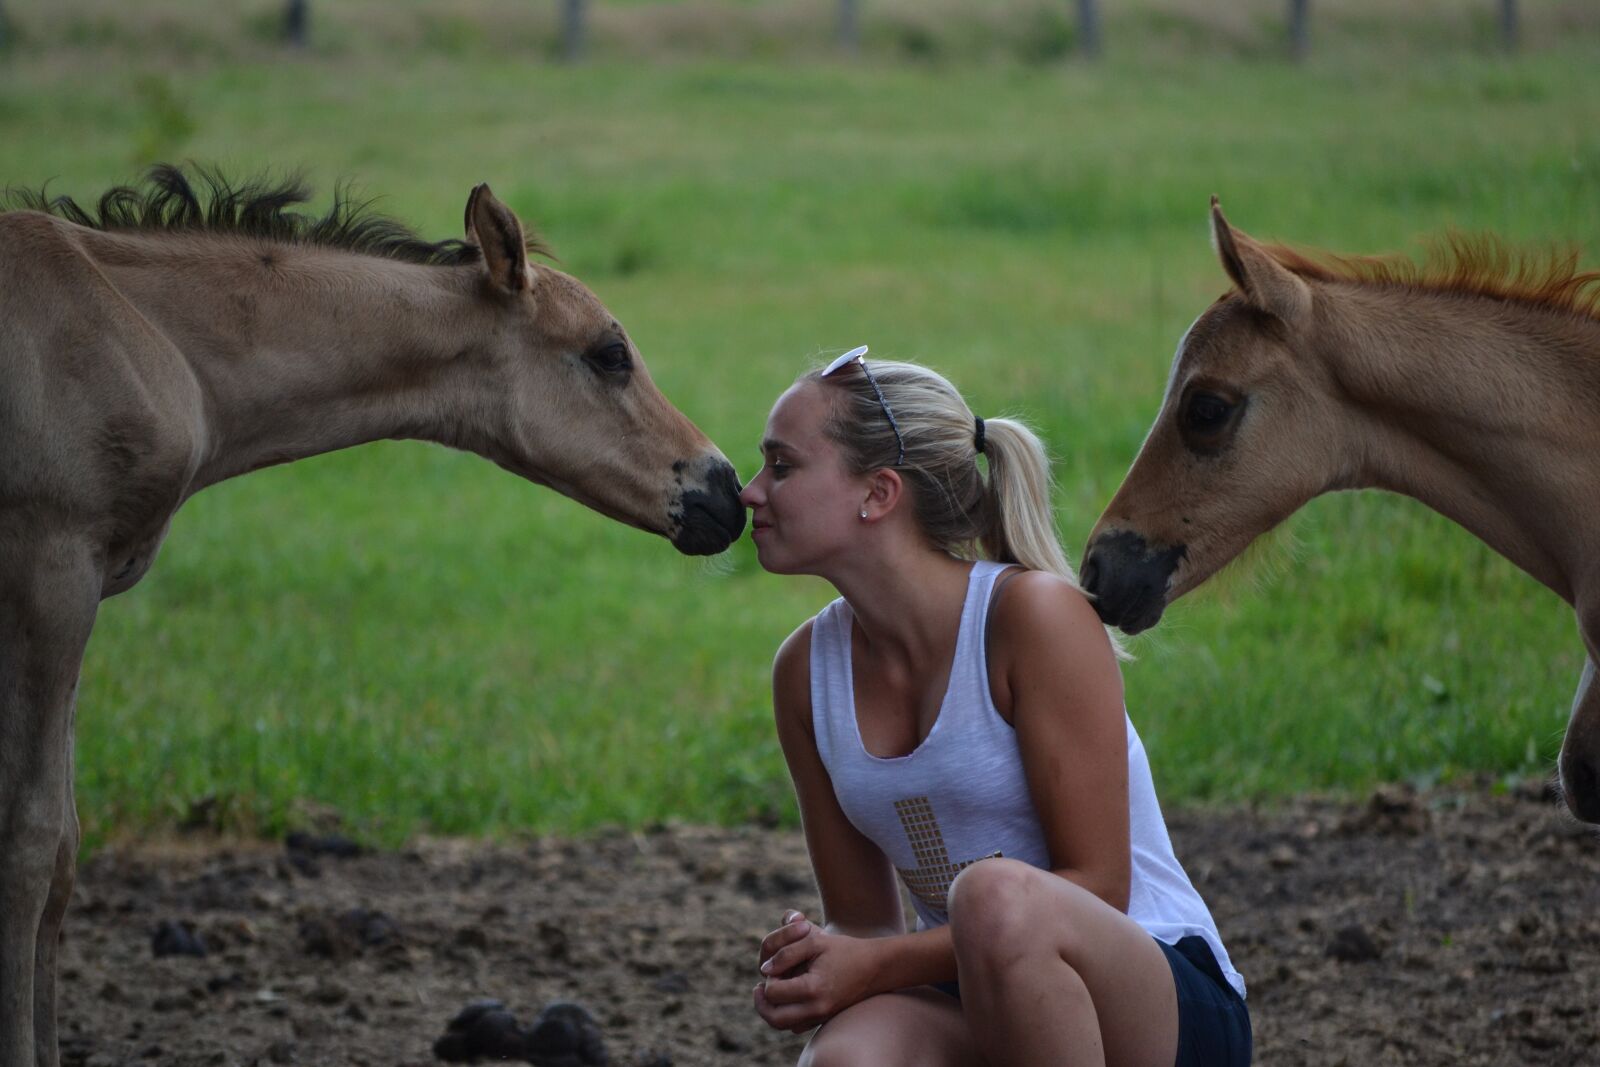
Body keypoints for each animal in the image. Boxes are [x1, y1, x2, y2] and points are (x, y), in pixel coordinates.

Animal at [0, 165, 745, 1067]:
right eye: (610, 353)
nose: (724, 492)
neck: (145, 333)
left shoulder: (74, 598)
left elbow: (65, 849)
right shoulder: (50, 576)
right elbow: (31, 842)